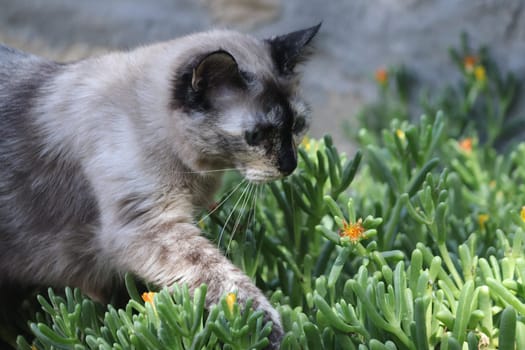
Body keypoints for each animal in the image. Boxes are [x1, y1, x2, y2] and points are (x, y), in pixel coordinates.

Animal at [0, 23, 320, 348]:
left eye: (296, 126)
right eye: (255, 136)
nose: (289, 165)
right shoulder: (149, 226)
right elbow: (221, 276)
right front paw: (265, 329)